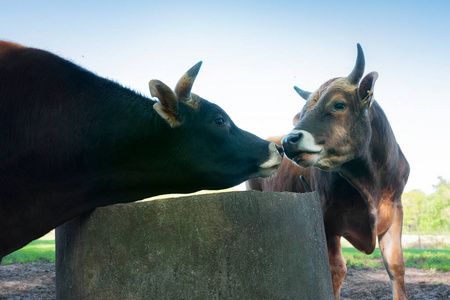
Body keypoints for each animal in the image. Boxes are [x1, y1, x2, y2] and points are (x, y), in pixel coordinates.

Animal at [248, 45, 410, 300]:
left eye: (338, 104)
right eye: (303, 112)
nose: (289, 141)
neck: (371, 184)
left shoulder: (395, 210)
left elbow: (396, 265)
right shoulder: (327, 218)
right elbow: (336, 269)